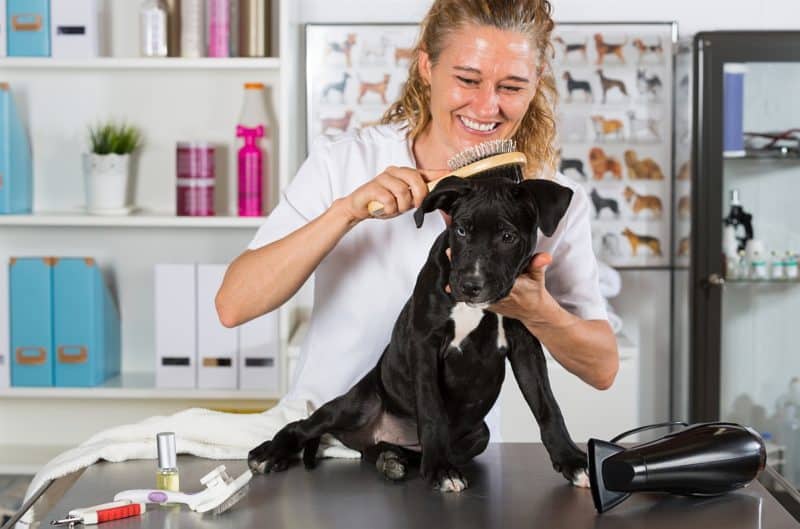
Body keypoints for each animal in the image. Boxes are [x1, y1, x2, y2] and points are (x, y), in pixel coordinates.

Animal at [247, 174, 592, 490]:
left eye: (507, 236)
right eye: (461, 230)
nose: (470, 284)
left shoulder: (525, 347)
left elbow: (547, 406)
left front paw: (571, 460)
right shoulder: (424, 344)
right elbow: (431, 409)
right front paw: (441, 469)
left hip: (478, 435)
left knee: (390, 450)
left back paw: (392, 459)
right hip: (354, 405)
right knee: (303, 425)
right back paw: (269, 453)